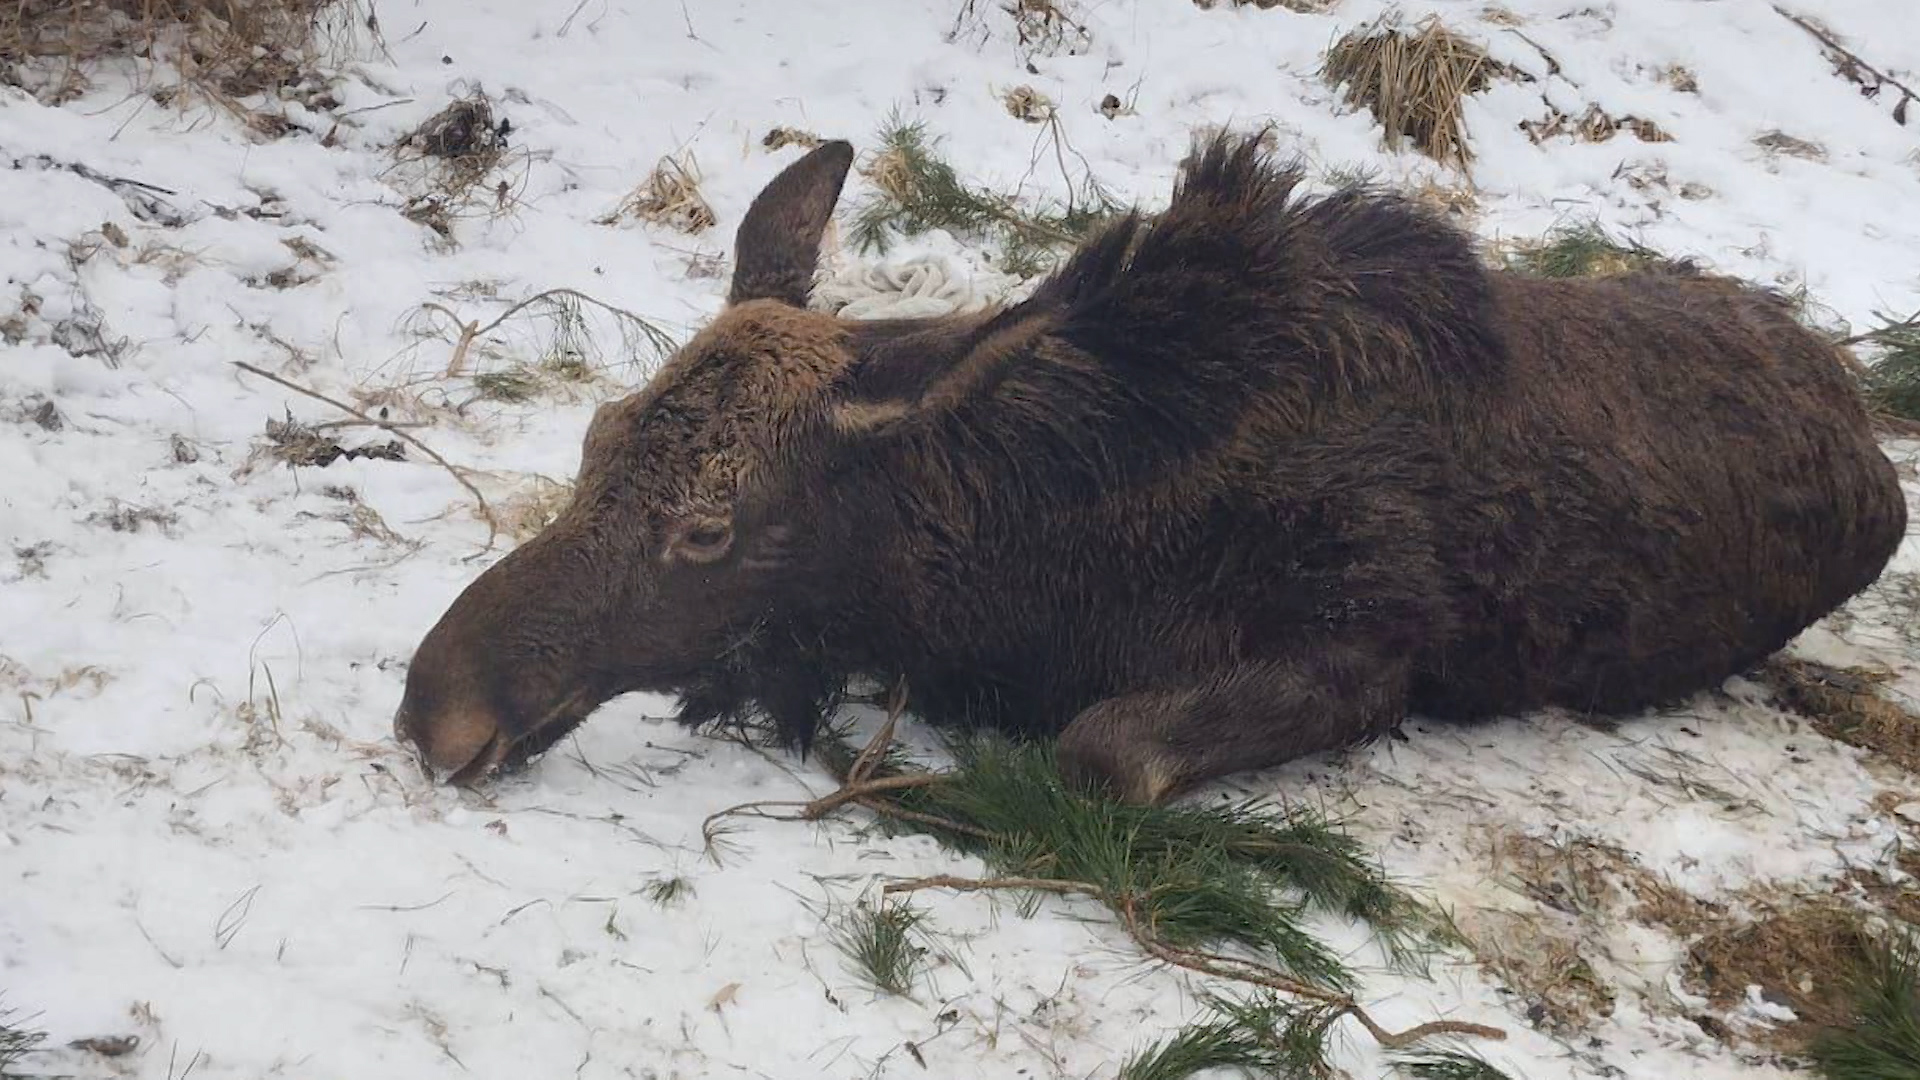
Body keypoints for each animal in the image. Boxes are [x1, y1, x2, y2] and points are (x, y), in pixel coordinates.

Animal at [389, 134, 1904, 803]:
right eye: (595, 438)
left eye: (711, 525)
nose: (433, 707)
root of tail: (1878, 461)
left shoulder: (1366, 646)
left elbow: (1105, 746)